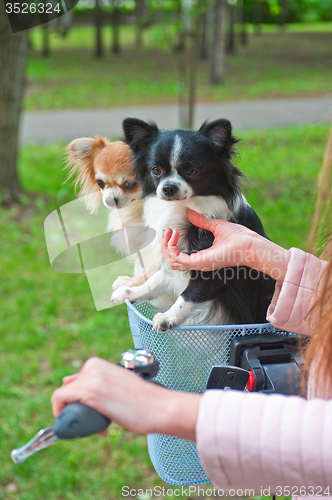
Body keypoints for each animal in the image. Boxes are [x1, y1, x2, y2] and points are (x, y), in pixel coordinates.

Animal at [111, 119, 274, 332]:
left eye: (191, 171)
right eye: (156, 170)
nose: (168, 188)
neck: (184, 207)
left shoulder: (213, 269)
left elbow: (189, 295)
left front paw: (168, 317)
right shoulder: (173, 259)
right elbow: (156, 280)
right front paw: (132, 292)